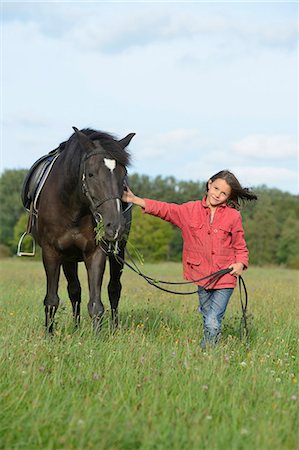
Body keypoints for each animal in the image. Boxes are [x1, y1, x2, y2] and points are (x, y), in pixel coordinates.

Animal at [22, 128, 135, 332]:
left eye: (123, 174)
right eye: (90, 174)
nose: (114, 225)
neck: (72, 206)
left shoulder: (96, 252)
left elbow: (96, 304)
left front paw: (97, 336)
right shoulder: (52, 252)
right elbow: (52, 300)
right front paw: (49, 335)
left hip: (118, 251)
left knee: (114, 288)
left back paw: (114, 329)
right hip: (68, 258)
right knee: (74, 290)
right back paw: (75, 328)